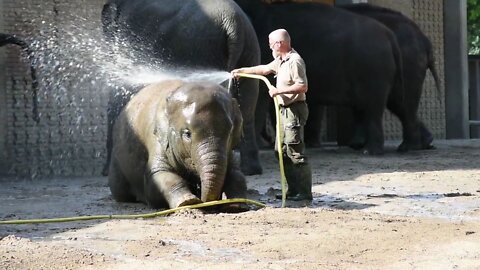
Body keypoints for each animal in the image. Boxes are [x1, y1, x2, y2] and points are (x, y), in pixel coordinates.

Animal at [109, 79, 248, 209]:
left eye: (230, 131)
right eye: (187, 134)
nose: (206, 202)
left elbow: (237, 175)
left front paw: (236, 205)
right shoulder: (157, 140)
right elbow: (159, 176)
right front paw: (188, 202)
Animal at [233, 0, 402, 155]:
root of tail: (390, 36)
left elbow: (260, 95)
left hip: (374, 71)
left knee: (373, 108)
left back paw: (370, 151)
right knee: (369, 106)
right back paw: (361, 146)